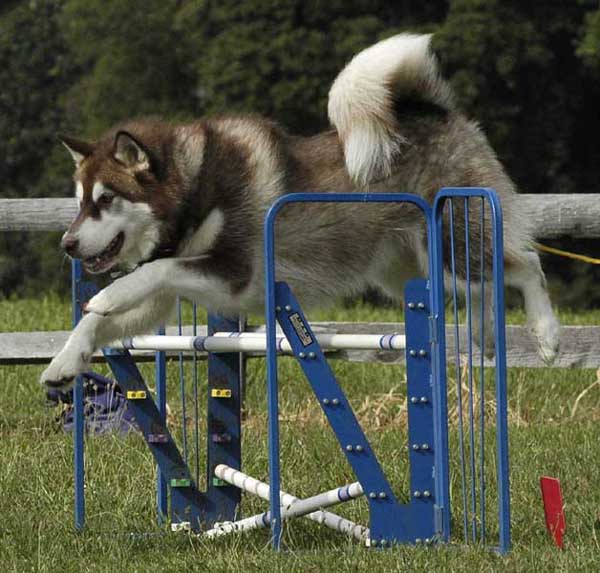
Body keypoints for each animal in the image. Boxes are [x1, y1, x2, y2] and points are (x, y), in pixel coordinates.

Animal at [39, 32, 560, 388]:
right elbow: (100, 318)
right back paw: (486, 336)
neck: (196, 187)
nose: (67, 244)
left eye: (107, 199)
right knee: (486, 286)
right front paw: (65, 361)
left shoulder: (232, 273)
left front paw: (105, 297)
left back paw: (548, 337)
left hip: (450, 250)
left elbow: (147, 274)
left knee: (527, 265)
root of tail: (434, 111)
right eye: (80, 201)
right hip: (413, 270)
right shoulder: (166, 301)